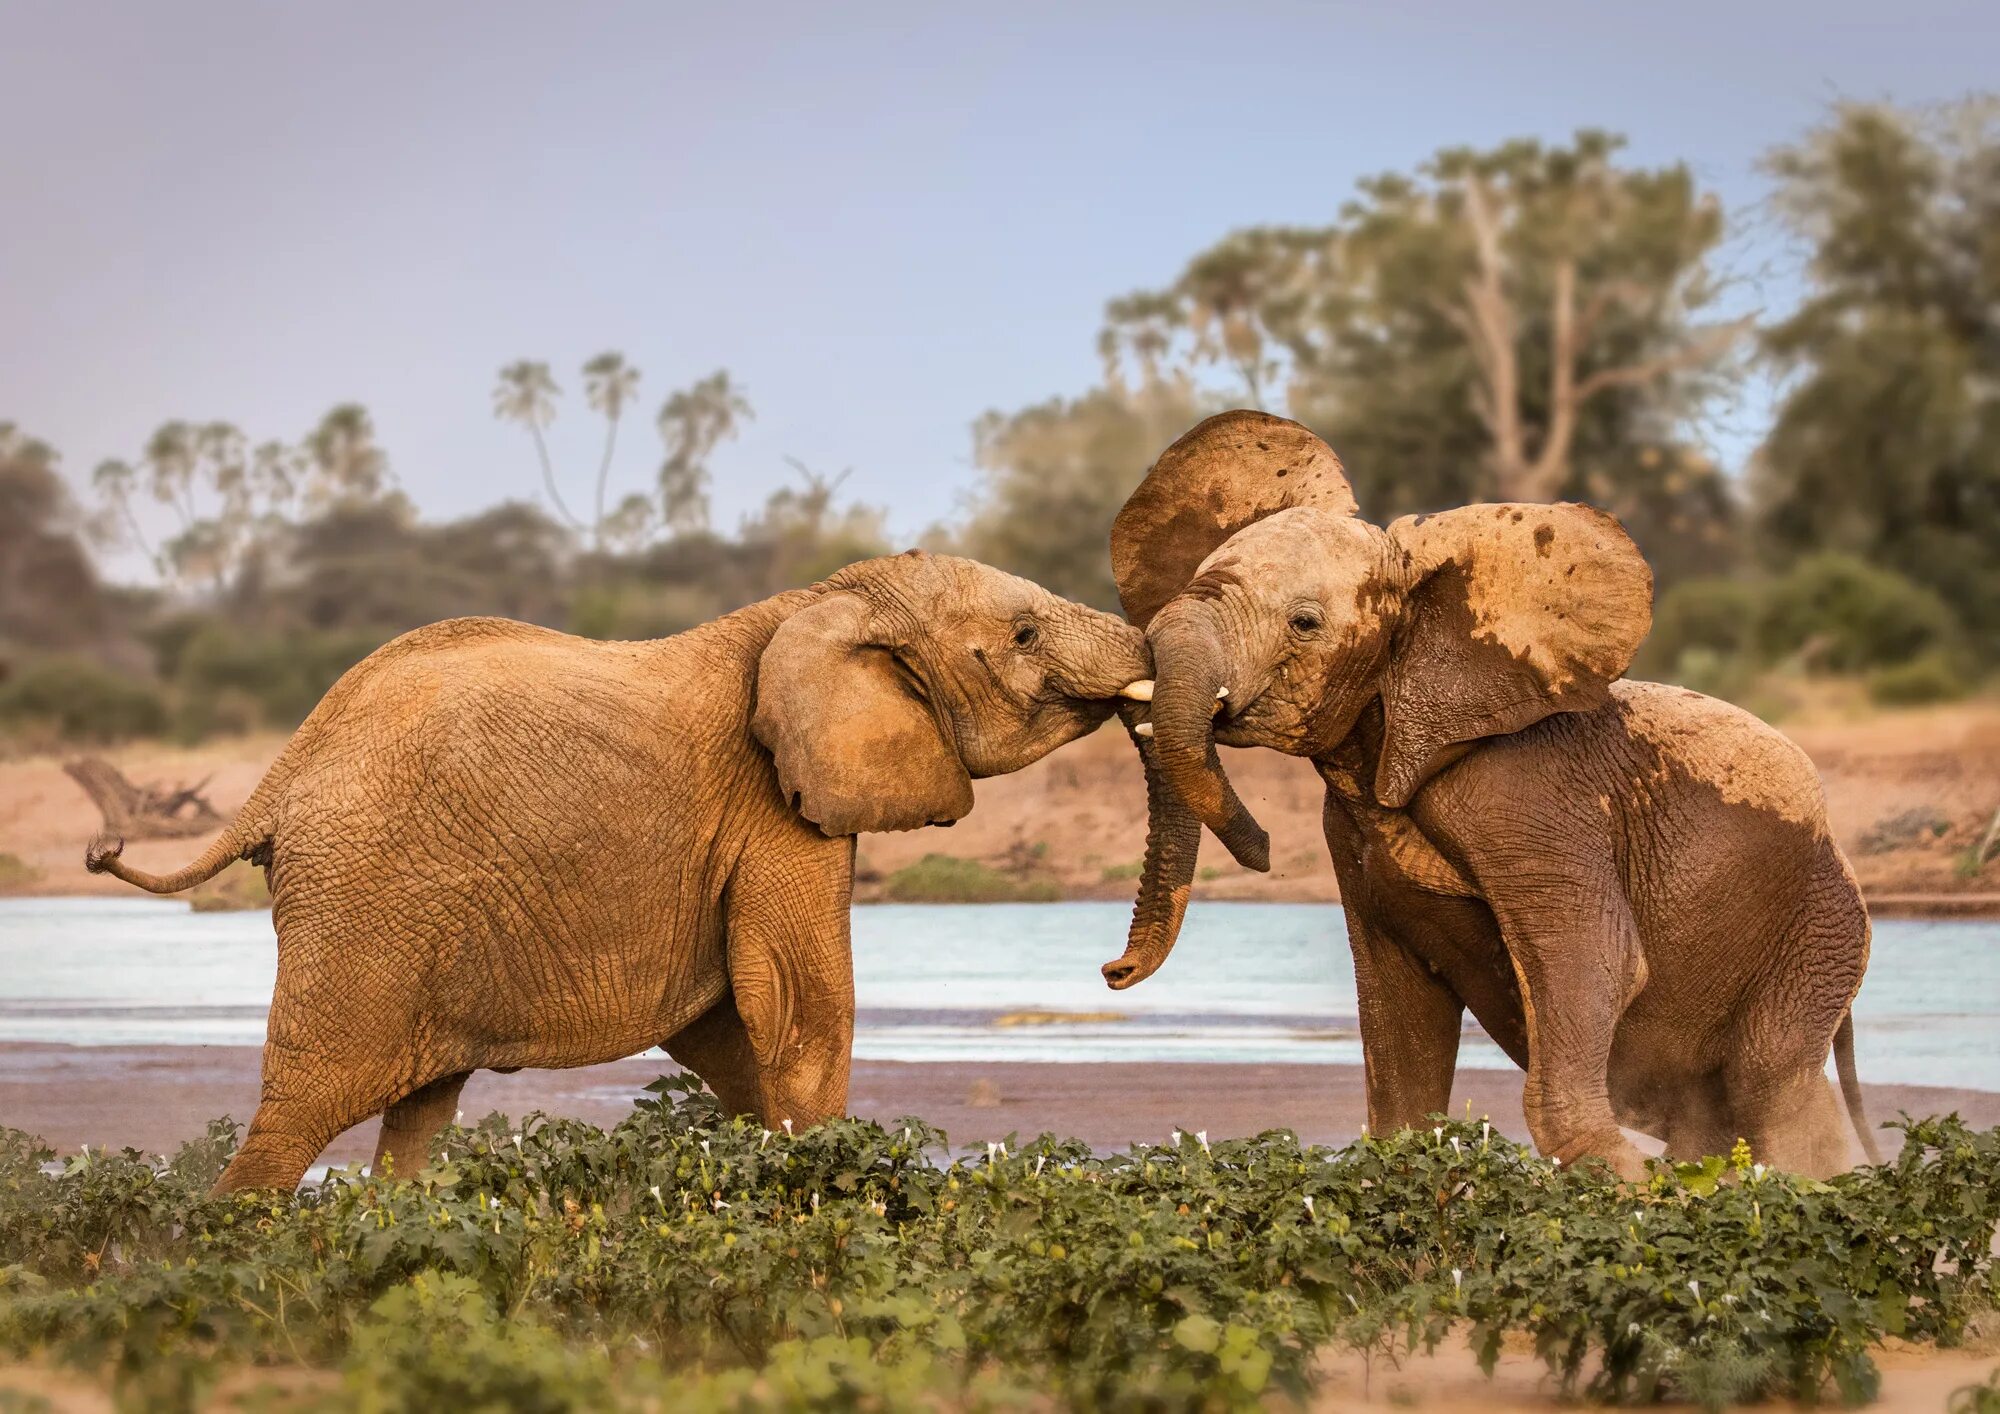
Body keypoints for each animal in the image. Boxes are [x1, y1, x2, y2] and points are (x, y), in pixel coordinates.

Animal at [90, 552, 1160, 1192]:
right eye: (1023, 636)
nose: (1113, 972)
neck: (827, 597)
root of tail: (276, 777)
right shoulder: (774, 802)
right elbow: (800, 1005)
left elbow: (731, 1027)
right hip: (363, 904)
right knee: (300, 1110)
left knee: (420, 1112)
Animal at [1096, 412, 1872, 1184]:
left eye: (1305, 624)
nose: (1113, 971)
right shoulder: (1350, 832)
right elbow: (1396, 998)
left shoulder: (1530, 799)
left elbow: (1595, 958)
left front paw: (1628, 1182)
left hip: (1819, 932)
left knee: (1772, 1086)